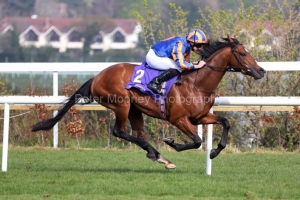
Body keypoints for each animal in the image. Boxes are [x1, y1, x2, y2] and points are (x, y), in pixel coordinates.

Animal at [32, 36, 264, 169]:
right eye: (243, 53)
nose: (261, 71)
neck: (197, 83)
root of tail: (97, 77)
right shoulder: (178, 119)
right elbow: (197, 140)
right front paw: (172, 142)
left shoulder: (201, 116)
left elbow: (226, 122)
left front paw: (215, 151)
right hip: (121, 105)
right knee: (120, 132)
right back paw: (158, 154)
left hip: (135, 110)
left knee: (137, 134)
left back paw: (158, 156)